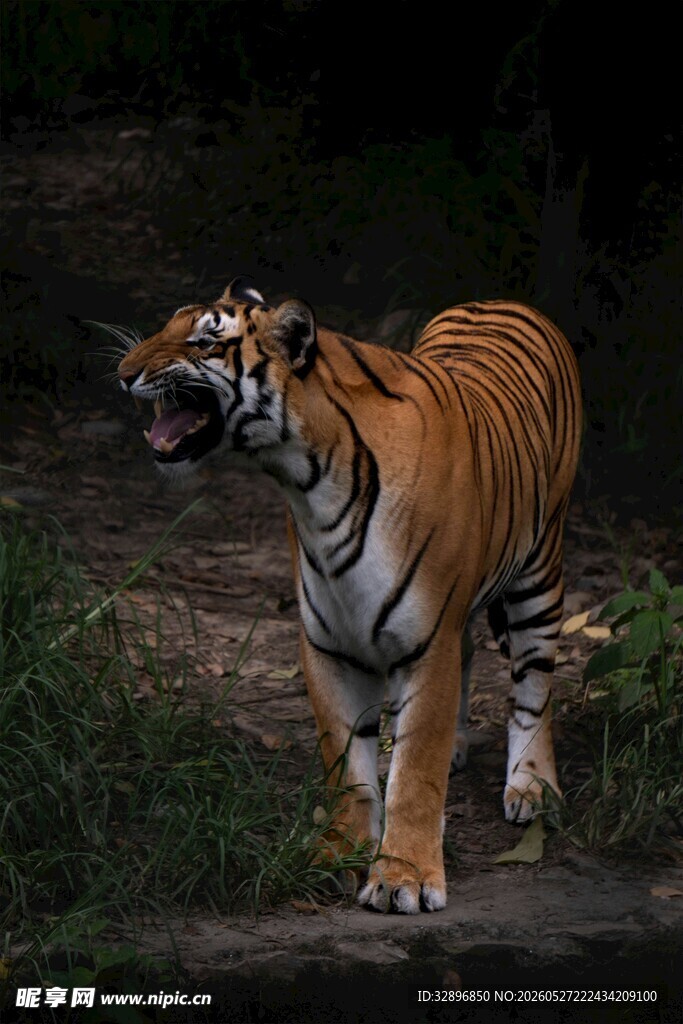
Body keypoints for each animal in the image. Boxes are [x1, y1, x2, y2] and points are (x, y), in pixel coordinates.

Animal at [118, 276, 581, 914]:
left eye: (206, 339)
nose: (122, 372)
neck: (309, 478)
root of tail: (502, 299)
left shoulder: (427, 639)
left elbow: (415, 771)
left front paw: (404, 877)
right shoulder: (328, 642)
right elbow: (347, 763)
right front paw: (337, 853)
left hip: (540, 571)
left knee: (534, 686)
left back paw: (532, 787)